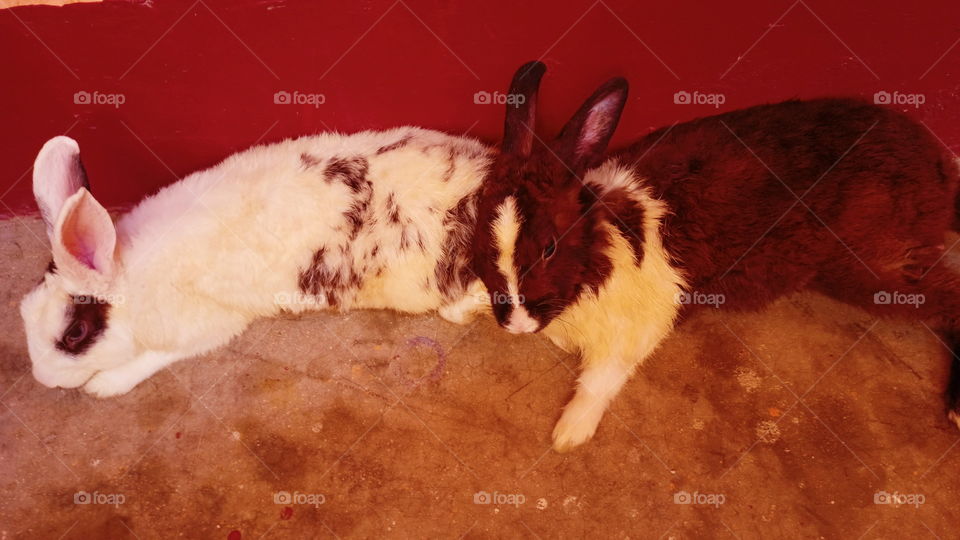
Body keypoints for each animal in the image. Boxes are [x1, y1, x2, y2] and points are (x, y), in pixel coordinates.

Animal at [20, 127, 496, 397]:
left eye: (75, 334)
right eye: (23, 311)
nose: (43, 378)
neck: (129, 275)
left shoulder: (207, 324)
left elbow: (152, 357)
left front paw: (103, 386)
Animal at [471, 61, 960, 452]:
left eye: (550, 246)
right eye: (479, 232)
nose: (516, 323)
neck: (595, 258)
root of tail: (938, 164)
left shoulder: (634, 334)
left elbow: (598, 383)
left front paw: (568, 435)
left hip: (869, 266)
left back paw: (955, 408)